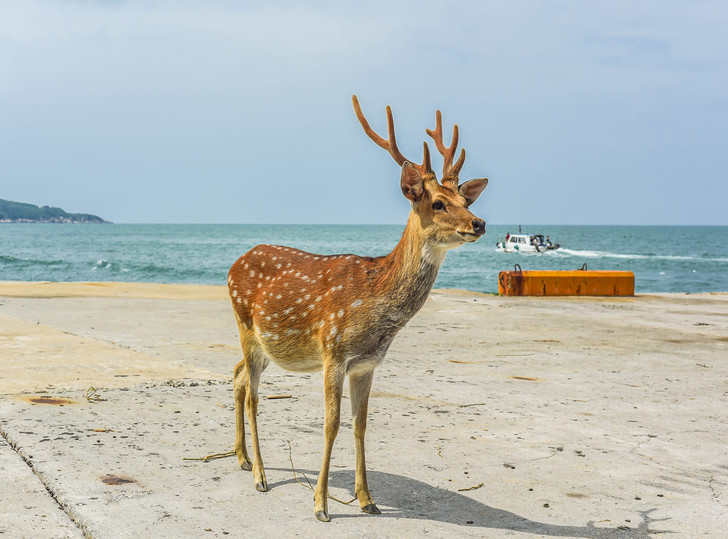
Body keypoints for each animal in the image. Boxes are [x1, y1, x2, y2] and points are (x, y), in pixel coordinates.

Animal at [228, 95, 490, 520]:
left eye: (465, 200)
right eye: (437, 203)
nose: (478, 223)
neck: (374, 305)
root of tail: (236, 262)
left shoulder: (367, 364)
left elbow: (361, 426)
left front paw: (367, 500)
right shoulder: (333, 351)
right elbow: (331, 424)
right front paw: (320, 505)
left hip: (271, 344)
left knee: (236, 375)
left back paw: (241, 458)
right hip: (245, 325)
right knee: (253, 394)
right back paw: (260, 476)